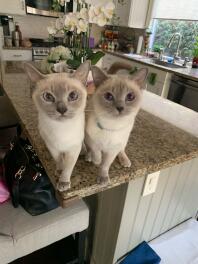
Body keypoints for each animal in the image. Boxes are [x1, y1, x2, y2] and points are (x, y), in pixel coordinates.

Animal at [24, 60, 90, 191]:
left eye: (73, 96)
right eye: (48, 97)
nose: (62, 109)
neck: (61, 129)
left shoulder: (73, 149)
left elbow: (68, 168)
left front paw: (63, 182)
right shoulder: (52, 147)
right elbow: (58, 160)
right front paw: (59, 171)